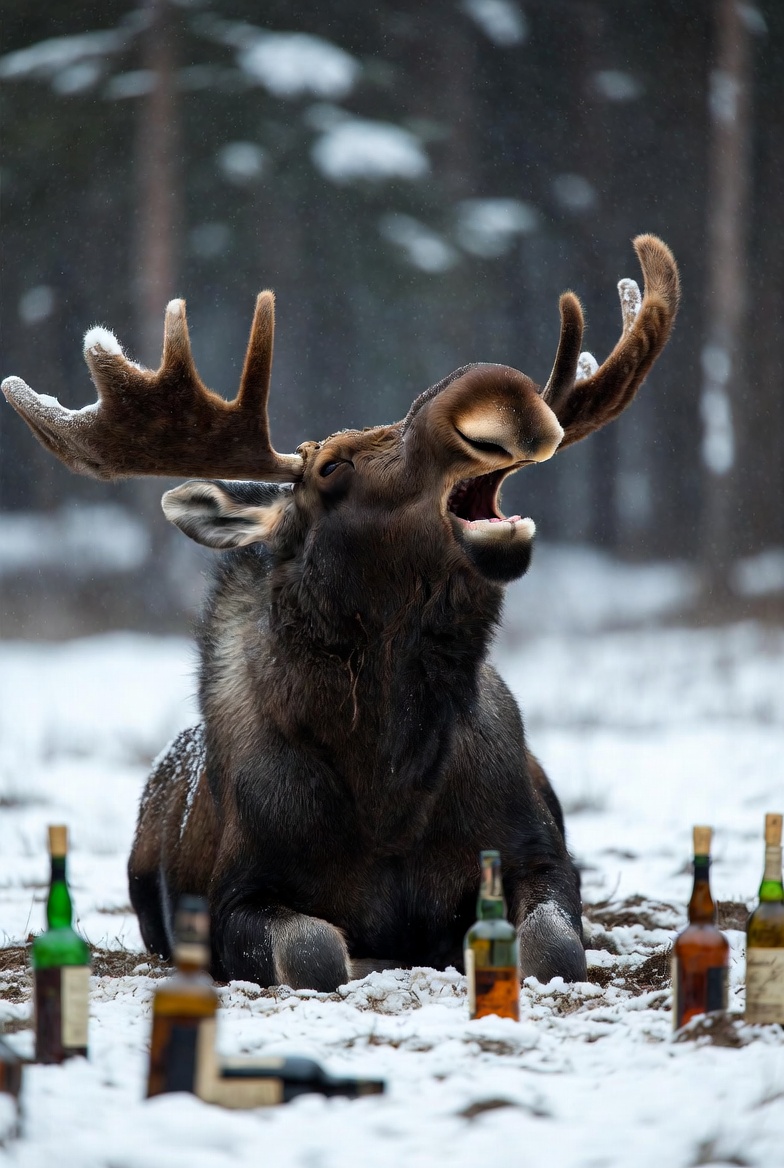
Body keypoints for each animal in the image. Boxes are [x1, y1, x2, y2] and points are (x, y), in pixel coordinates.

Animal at [2, 235, 680, 991]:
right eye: (330, 467)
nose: (496, 388)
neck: (389, 779)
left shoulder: (538, 855)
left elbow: (554, 946)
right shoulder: (235, 897)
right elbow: (315, 952)